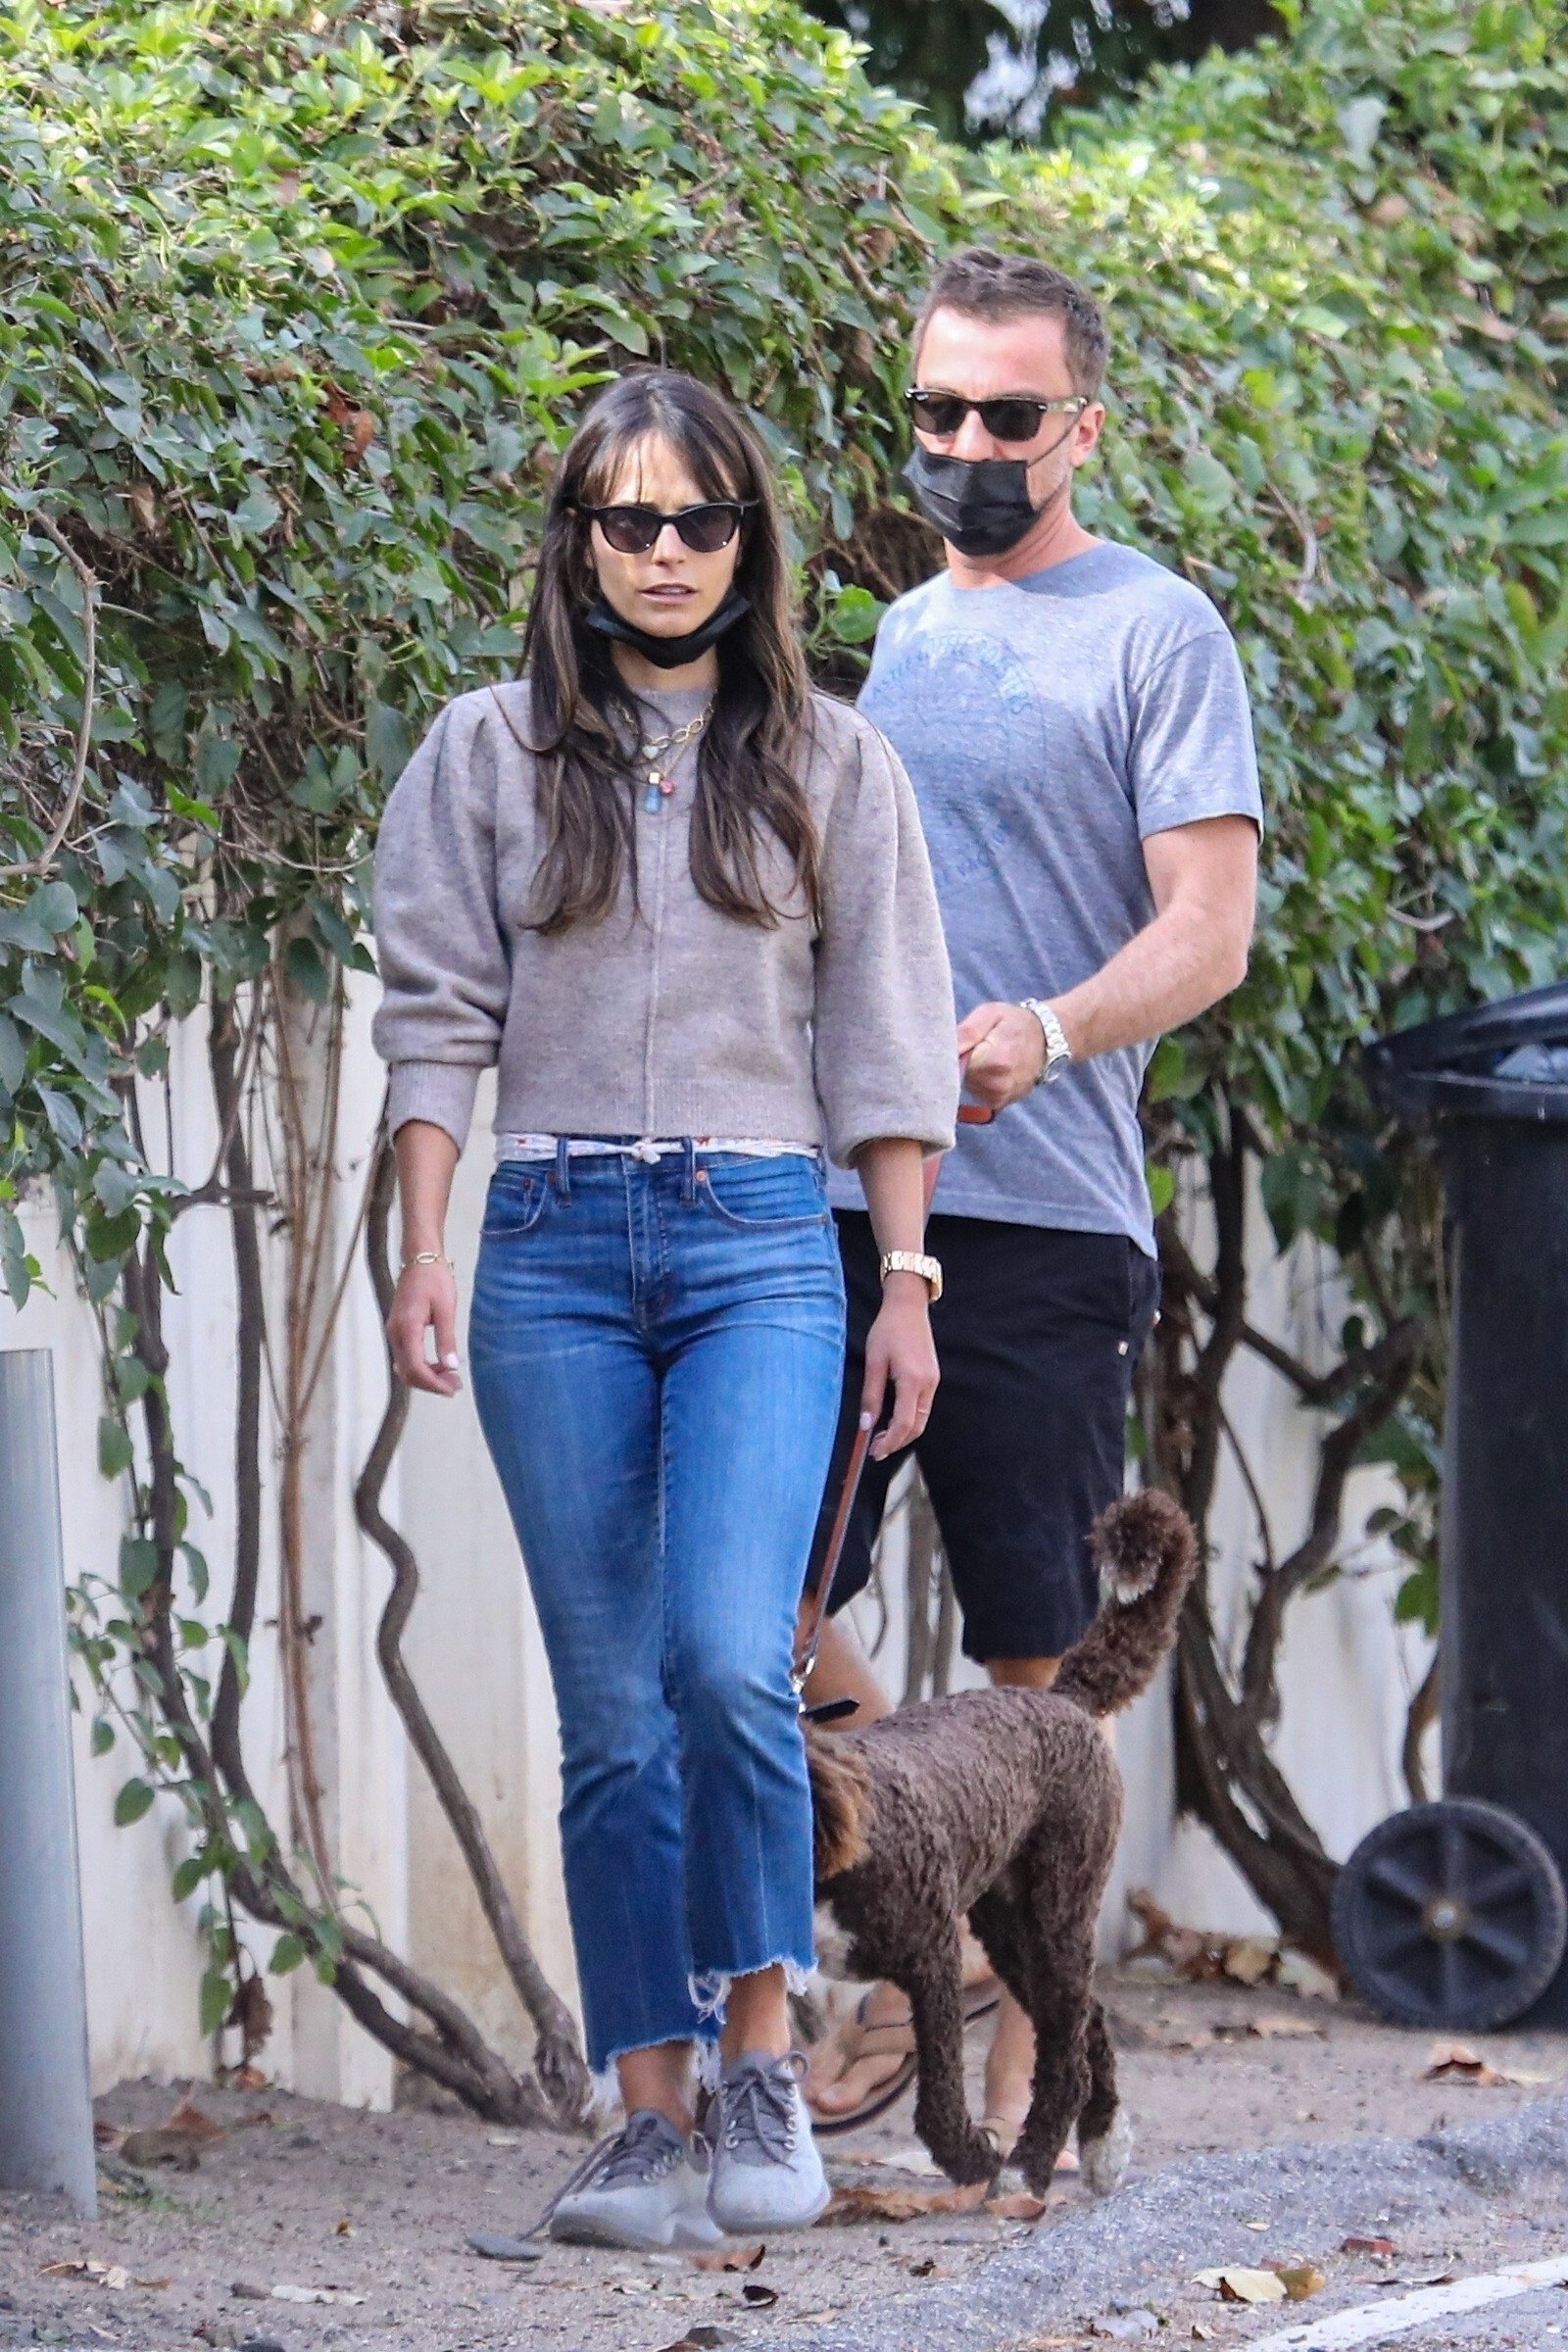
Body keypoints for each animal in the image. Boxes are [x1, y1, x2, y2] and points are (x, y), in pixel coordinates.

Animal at [805, 1487, 1197, 2199]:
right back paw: (1101, 2141)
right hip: (1012, 1928)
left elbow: (937, 2094)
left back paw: (1029, 2163)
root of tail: (1063, 1699)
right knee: (1087, 2020)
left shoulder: (932, 1960)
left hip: (1058, 1908)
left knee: (1066, 2048)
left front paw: (970, 2159)